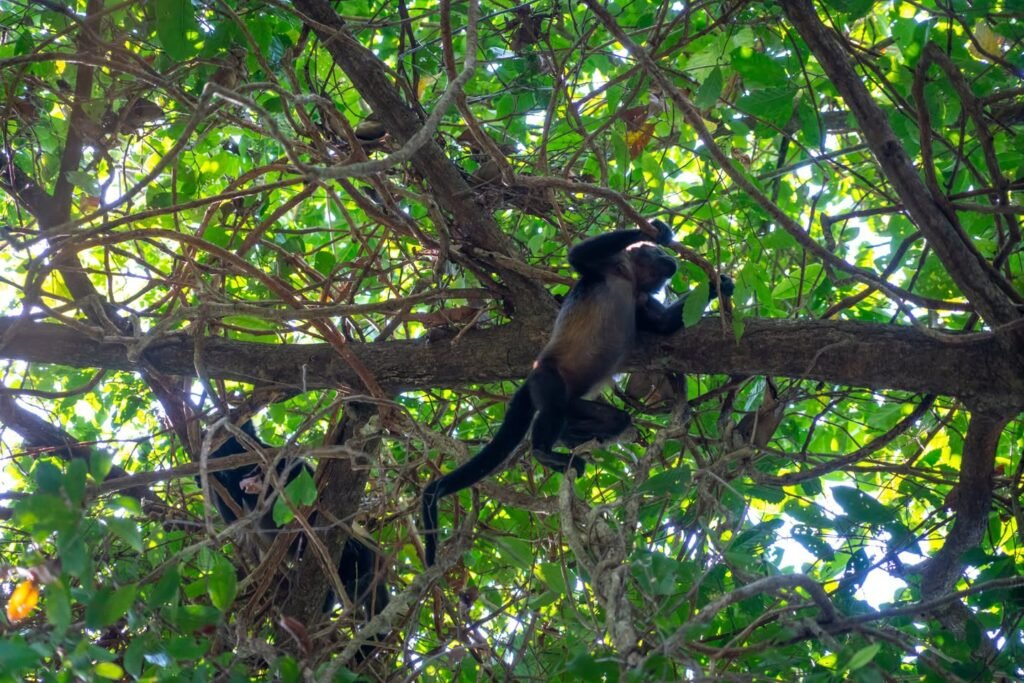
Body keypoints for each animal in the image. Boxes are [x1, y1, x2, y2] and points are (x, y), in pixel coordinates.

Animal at [421, 220, 733, 566]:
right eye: (658, 253)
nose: (669, 257)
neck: (630, 280)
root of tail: (532, 376)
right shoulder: (603, 267)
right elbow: (579, 255)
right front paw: (655, 230)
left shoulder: (641, 300)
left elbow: (663, 325)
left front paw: (720, 284)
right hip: (547, 379)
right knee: (552, 409)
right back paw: (543, 451)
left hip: (577, 402)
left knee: (611, 419)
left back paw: (571, 439)